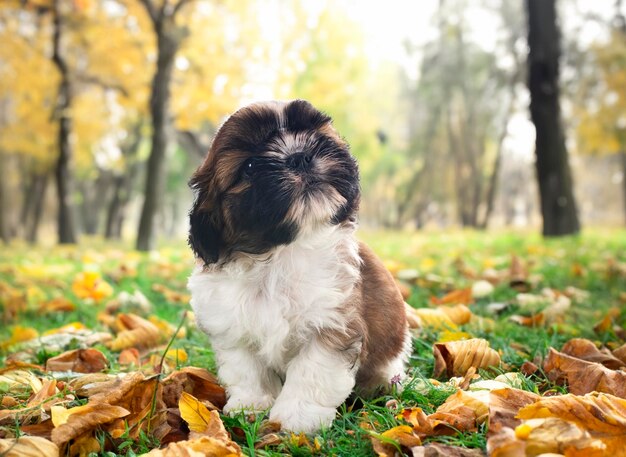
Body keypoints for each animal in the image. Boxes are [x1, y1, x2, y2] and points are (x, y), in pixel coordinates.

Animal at [185, 100, 410, 432]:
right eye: (250, 166)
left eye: (316, 137)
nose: (299, 155)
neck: (278, 258)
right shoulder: (231, 327)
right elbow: (247, 369)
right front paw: (251, 405)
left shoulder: (332, 322)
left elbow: (313, 372)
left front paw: (298, 418)